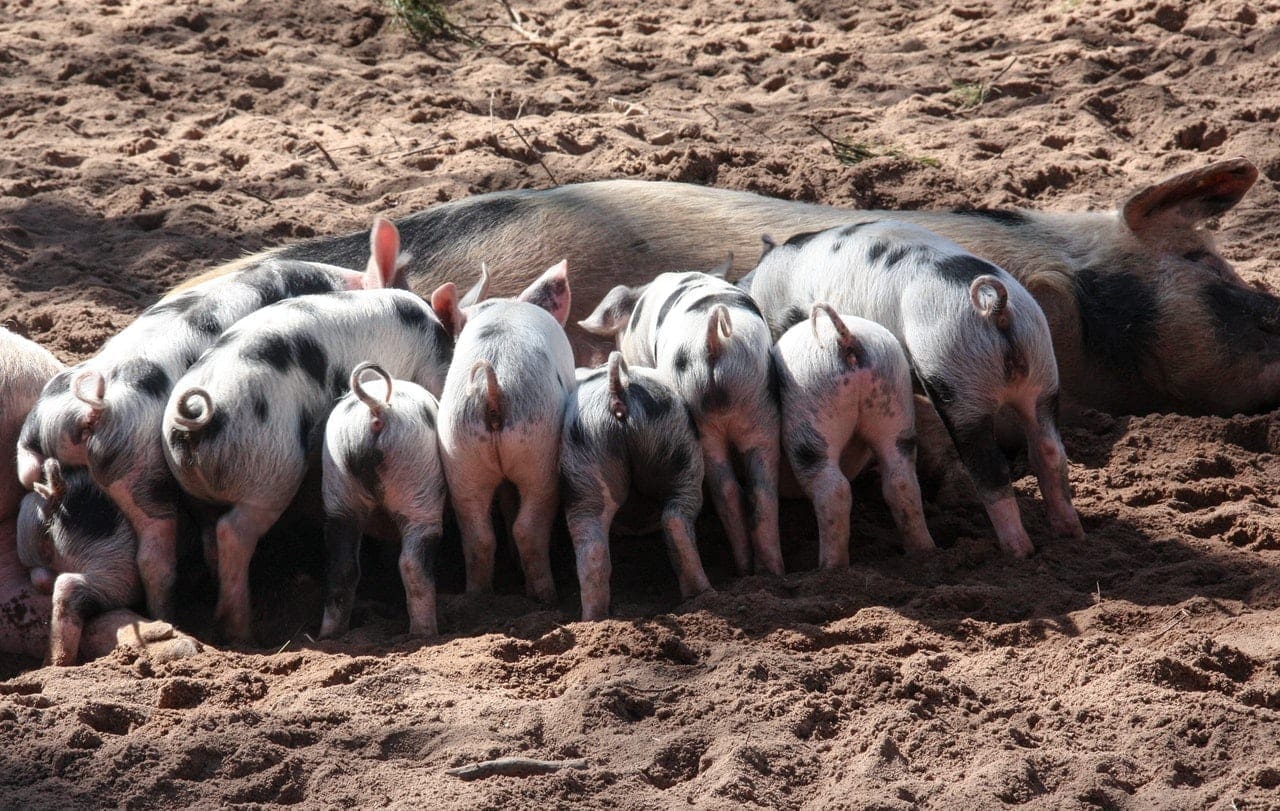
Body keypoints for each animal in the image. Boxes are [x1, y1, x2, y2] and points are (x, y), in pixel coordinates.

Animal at [320, 362, 445, 639]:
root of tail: (376, 408)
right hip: (418, 483)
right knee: (411, 563)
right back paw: (426, 633)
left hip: (339, 490)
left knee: (342, 567)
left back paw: (329, 635)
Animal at [431, 261, 575, 603]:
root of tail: (493, 386)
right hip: (540, 447)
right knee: (529, 525)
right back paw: (546, 596)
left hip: (459, 450)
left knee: (478, 533)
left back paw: (477, 596)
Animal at [561, 352, 712, 620]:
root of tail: (619, 393)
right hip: (680, 452)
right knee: (676, 517)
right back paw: (702, 595)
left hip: (586, 464)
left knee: (591, 546)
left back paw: (593, 619)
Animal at [579, 268, 784, 577]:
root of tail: (715, 342)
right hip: (756, 408)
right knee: (756, 491)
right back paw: (764, 571)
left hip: (714, 411)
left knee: (731, 491)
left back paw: (750, 569)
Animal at [771, 304, 935, 566]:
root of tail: (846, 339)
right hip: (894, 401)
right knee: (902, 480)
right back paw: (924, 551)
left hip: (810, 408)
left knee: (833, 489)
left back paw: (830, 567)